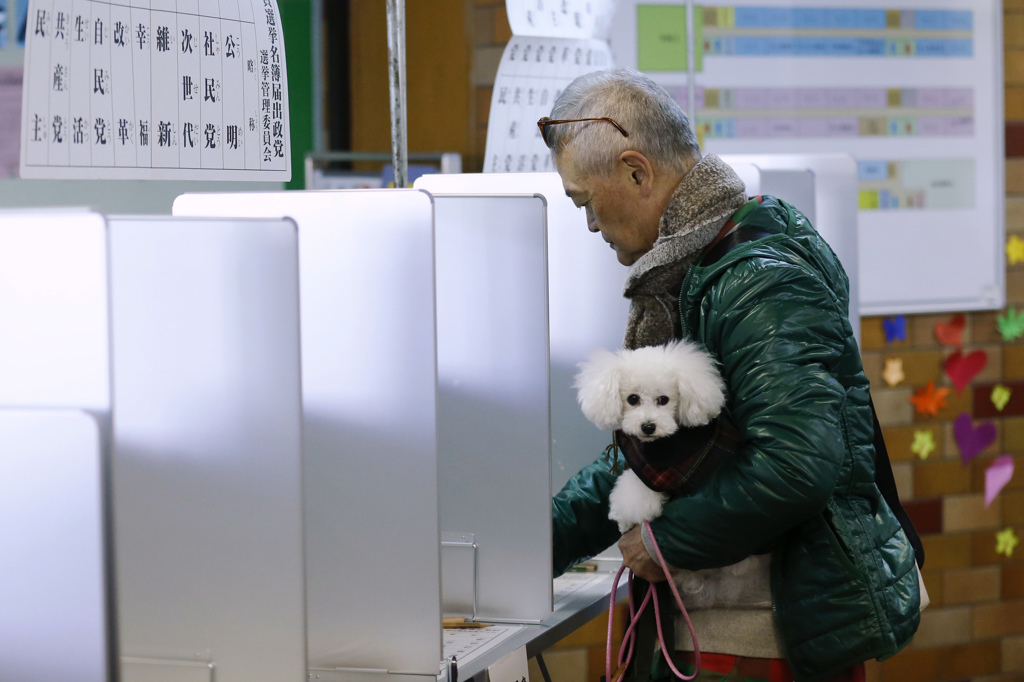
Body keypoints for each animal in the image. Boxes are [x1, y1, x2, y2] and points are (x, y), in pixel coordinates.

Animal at [574, 340, 726, 533]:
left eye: (663, 399)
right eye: (632, 399)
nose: (648, 427)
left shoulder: (648, 481)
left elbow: (634, 500)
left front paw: (623, 520)